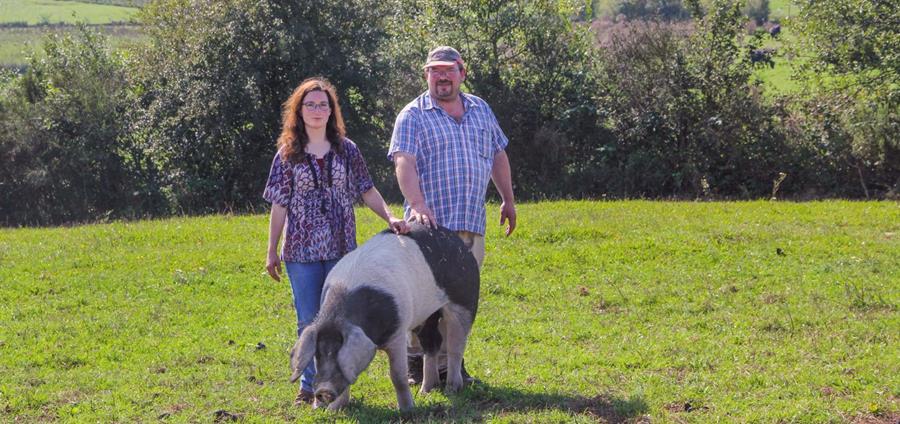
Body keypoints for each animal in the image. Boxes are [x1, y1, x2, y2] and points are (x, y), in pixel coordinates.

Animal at [290, 222, 482, 410]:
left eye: (338, 353)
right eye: (318, 354)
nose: (323, 391)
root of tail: (458, 242)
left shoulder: (398, 332)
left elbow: (397, 375)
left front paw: (408, 411)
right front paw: (334, 411)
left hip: (465, 299)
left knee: (455, 347)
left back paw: (451, 389)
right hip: (427, 316)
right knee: (431, 344)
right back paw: (425, 391)